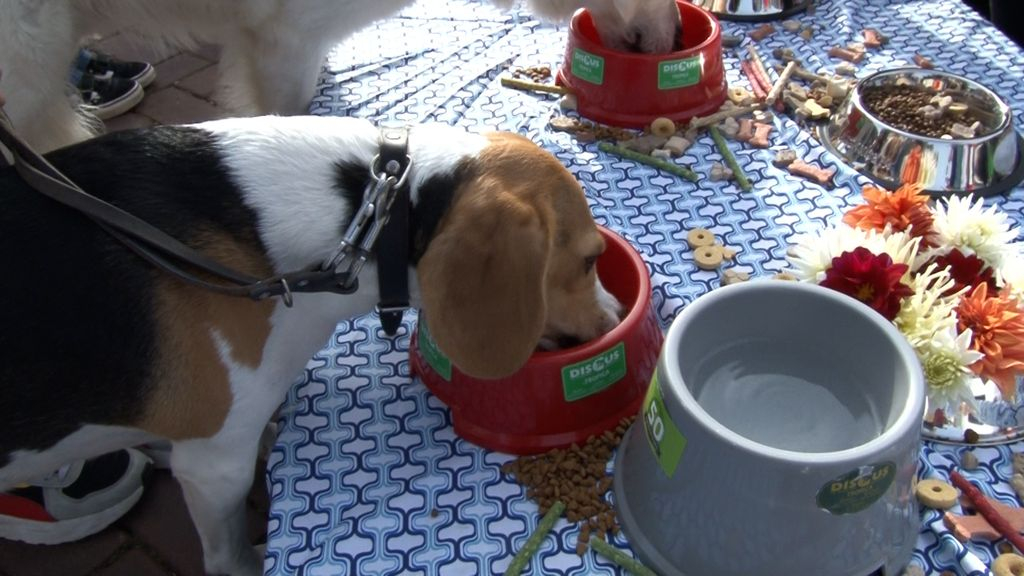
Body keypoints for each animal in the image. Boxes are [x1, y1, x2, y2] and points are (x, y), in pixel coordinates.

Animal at [0, 114, 614, 569]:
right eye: (588, 260)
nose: (614, 318)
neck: (367, 215)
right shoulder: (216, 464)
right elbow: (227, 554)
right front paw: (254, 559)